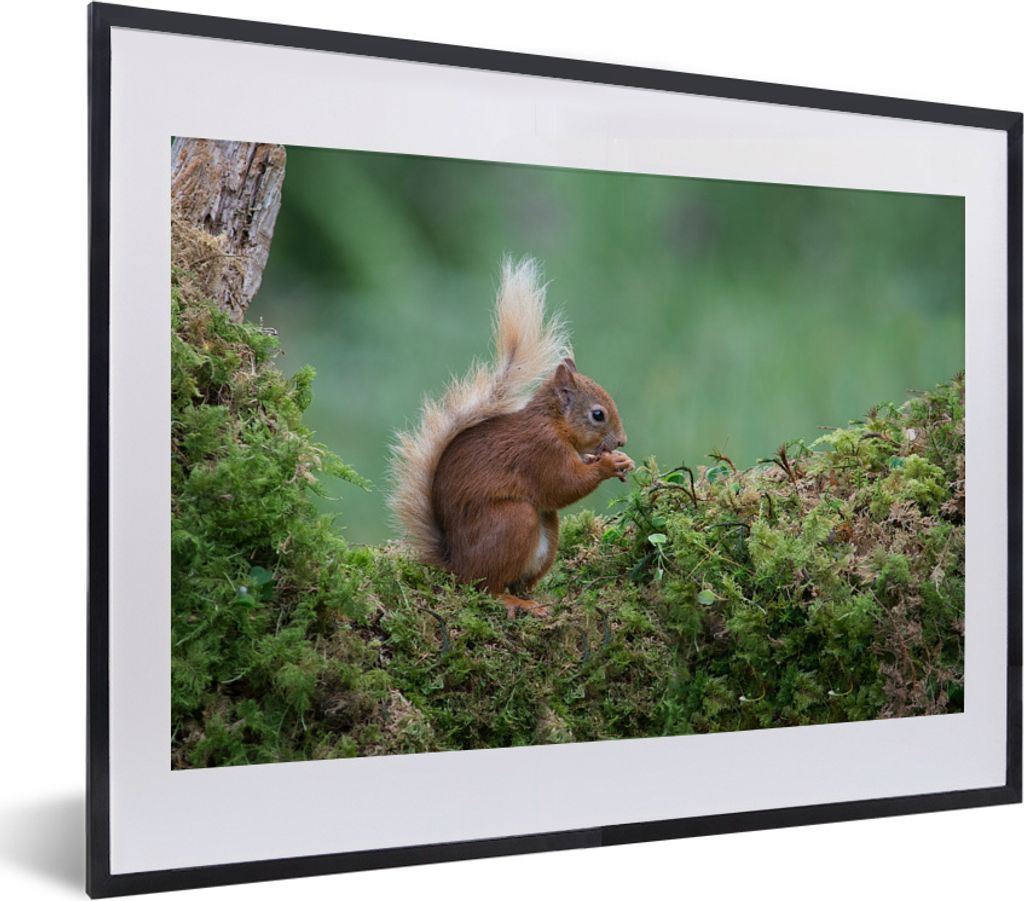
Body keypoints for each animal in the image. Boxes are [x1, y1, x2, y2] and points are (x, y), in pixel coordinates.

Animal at [389, 257, 634, 620]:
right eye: (598, 415)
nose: (622, 442)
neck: (553, 423)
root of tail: (455, 565)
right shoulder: (541, 450)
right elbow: (564, 484)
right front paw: (607, 464)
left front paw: (619, 461)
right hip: (512, 521)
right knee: (486, 587)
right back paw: (514, 602)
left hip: (546, 533)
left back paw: (536, 599)